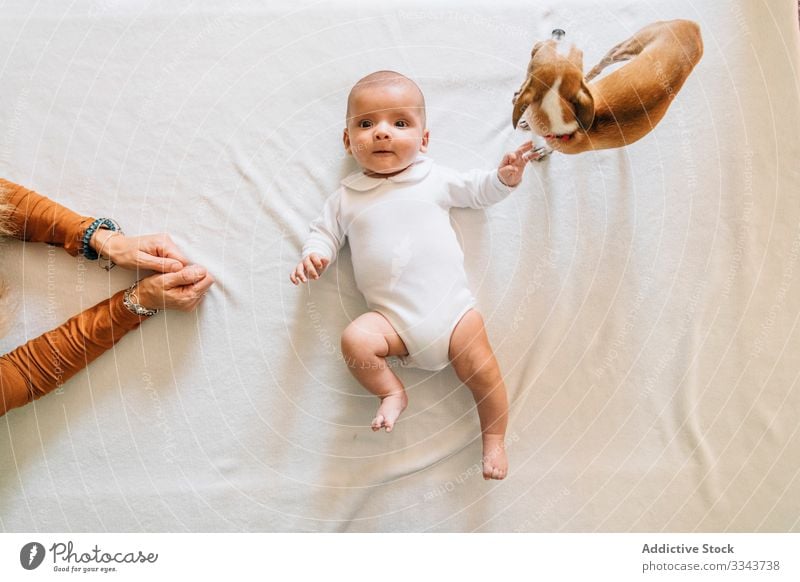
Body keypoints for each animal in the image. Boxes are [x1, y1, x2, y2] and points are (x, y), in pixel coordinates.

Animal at [516, 20, 704, 155]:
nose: (559, 31)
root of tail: (693, 26)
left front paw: (542, 147)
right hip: (624, 50)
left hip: (621, 51)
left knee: (598, 68)